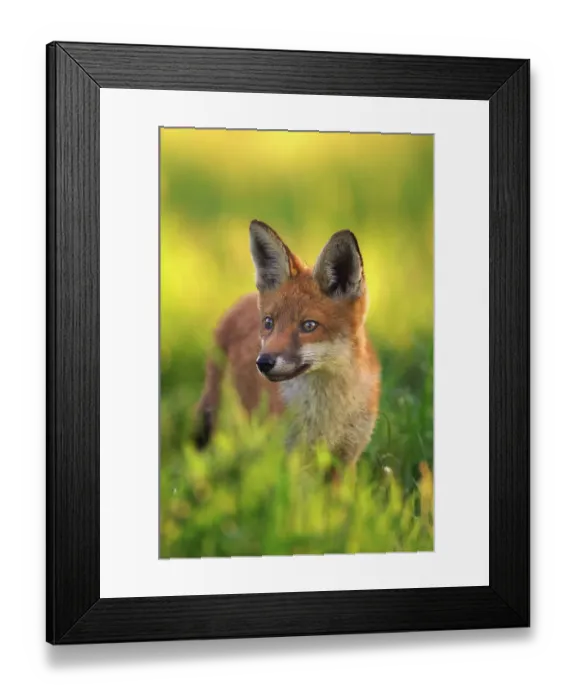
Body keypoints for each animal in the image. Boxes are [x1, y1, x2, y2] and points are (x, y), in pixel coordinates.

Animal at [192, 219, 381, 472]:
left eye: (309, 325)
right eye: (268, 323)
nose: (263, 363)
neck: (327, 416)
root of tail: (242, 299)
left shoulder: (345, 458)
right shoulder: (287, 455)